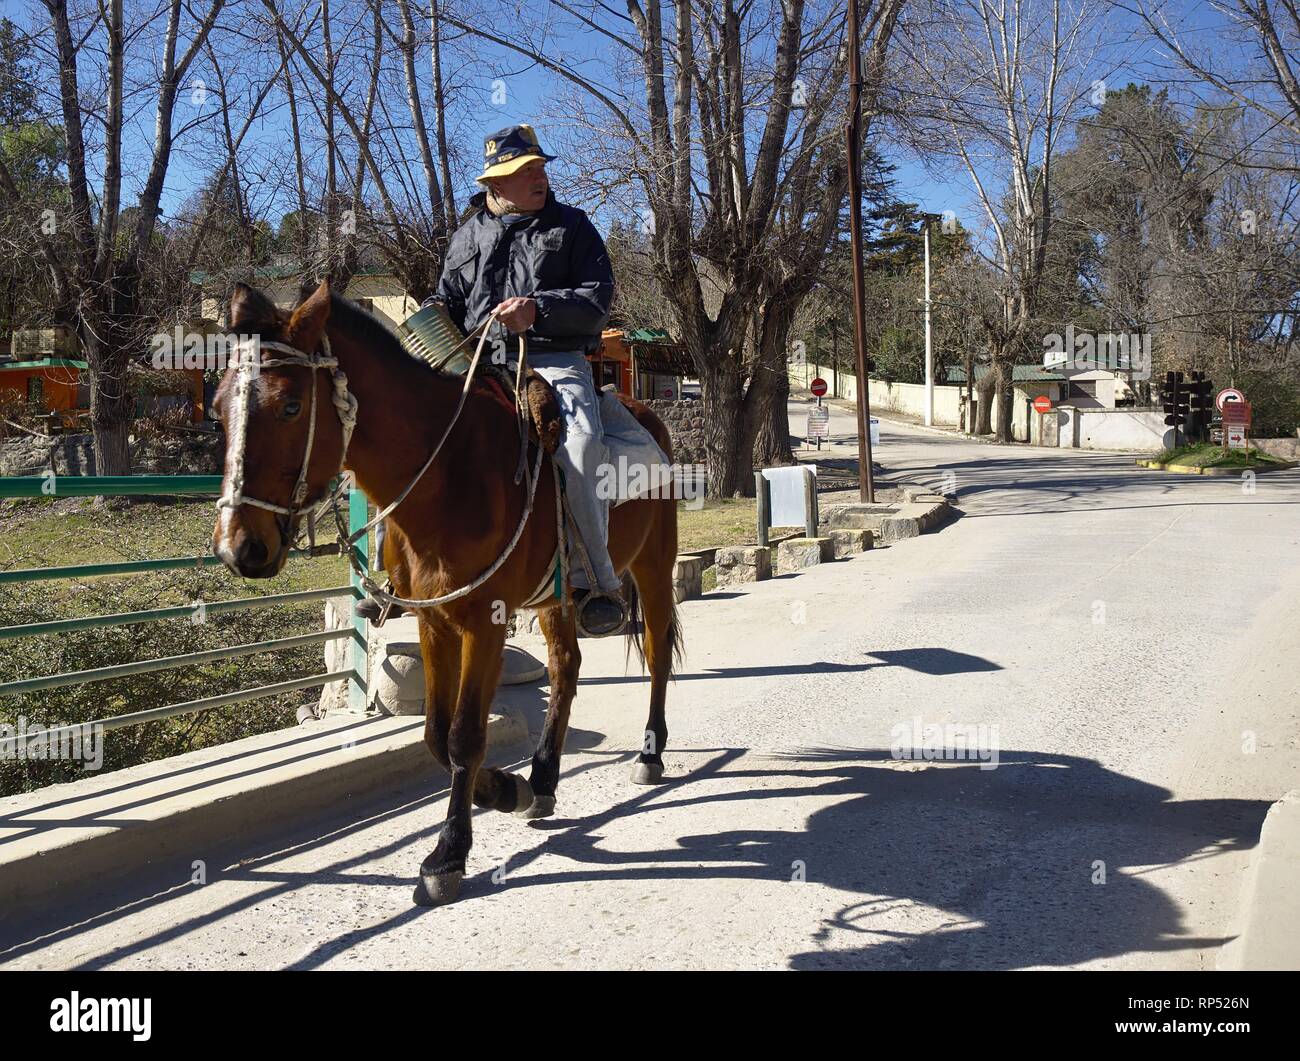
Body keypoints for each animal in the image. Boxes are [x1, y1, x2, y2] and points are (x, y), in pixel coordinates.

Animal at [210, 279, 681, 904]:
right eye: (218, 412)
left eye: (290, 406)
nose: (238, 547)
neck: (447, 473)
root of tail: (648, 414)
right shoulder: (434, 620)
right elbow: (435, 735)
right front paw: (507, 790)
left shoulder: (485, 620)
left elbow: (464, 736)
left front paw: (448, 855)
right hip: (555, 599)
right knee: (565, 667)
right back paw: (543, 779)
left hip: (654, 566)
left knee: (656, 654)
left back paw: (650, 753)